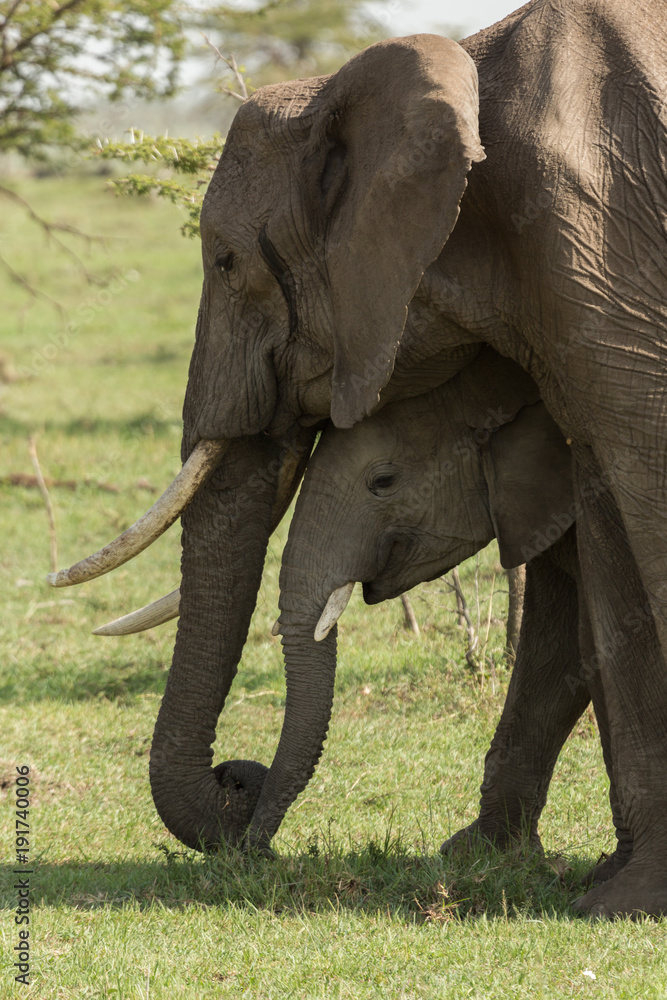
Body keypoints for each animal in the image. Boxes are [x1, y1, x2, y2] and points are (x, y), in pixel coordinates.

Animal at [48, 0, 667, 916]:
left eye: (226, 262)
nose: (238, 787)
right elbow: (607, 570)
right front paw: (606, 890)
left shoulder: (599, 245)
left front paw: (623, 902)